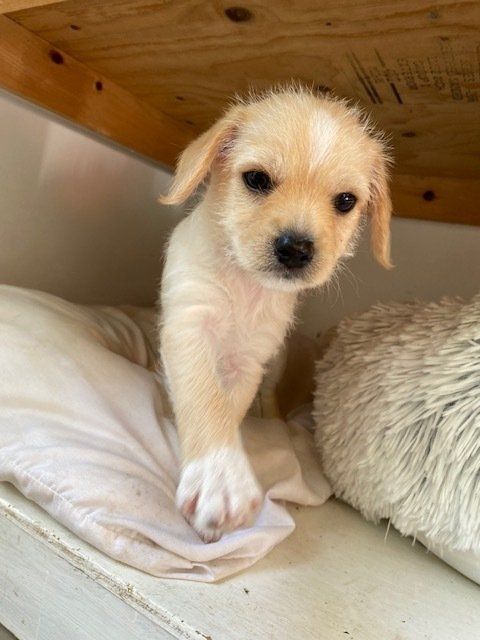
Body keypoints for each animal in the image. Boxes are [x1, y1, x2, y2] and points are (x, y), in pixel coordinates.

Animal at [159, 85, 392, 543]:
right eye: (257, 179)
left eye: (345, 201)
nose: (297, 249)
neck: (245, 285)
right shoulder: (190, 325)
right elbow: (205, 396)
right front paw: (219, 475)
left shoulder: (248, 362)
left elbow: (229, 407)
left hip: (275, 362)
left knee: (267, 395)